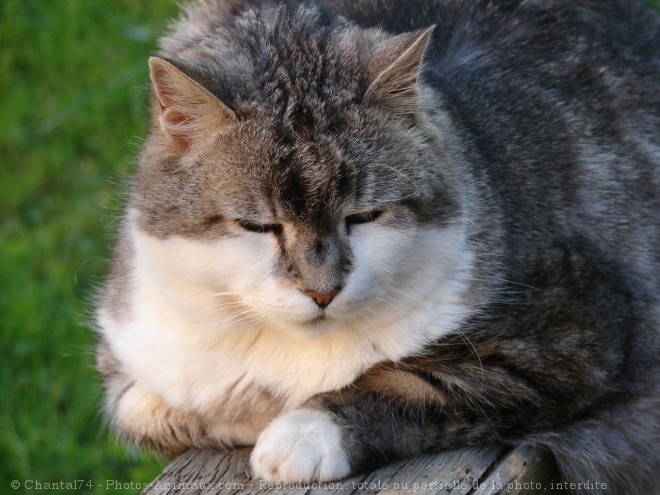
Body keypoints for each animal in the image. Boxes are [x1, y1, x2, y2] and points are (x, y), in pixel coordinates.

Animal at [94, 1, 660, 494]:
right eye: (258, 225)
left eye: (363, 216)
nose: (322, 292)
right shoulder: (132, 361)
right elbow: (151, 411)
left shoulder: (574, 337)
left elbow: (412, 382)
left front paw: (303, 433)